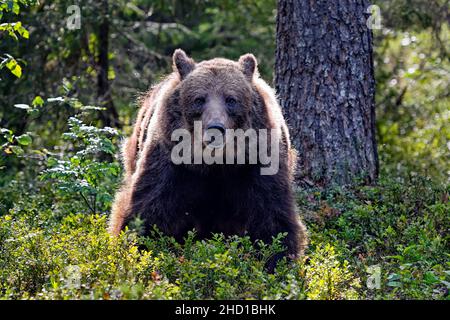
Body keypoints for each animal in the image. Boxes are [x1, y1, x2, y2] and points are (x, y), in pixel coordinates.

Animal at [110, 50, 306, 270]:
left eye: (231, 99)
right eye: (199, 99)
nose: (215, 128)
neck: (216, 164)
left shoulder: (258, 163)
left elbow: (272, 217)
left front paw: (276, 261)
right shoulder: (171, 163)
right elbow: (148, 210)